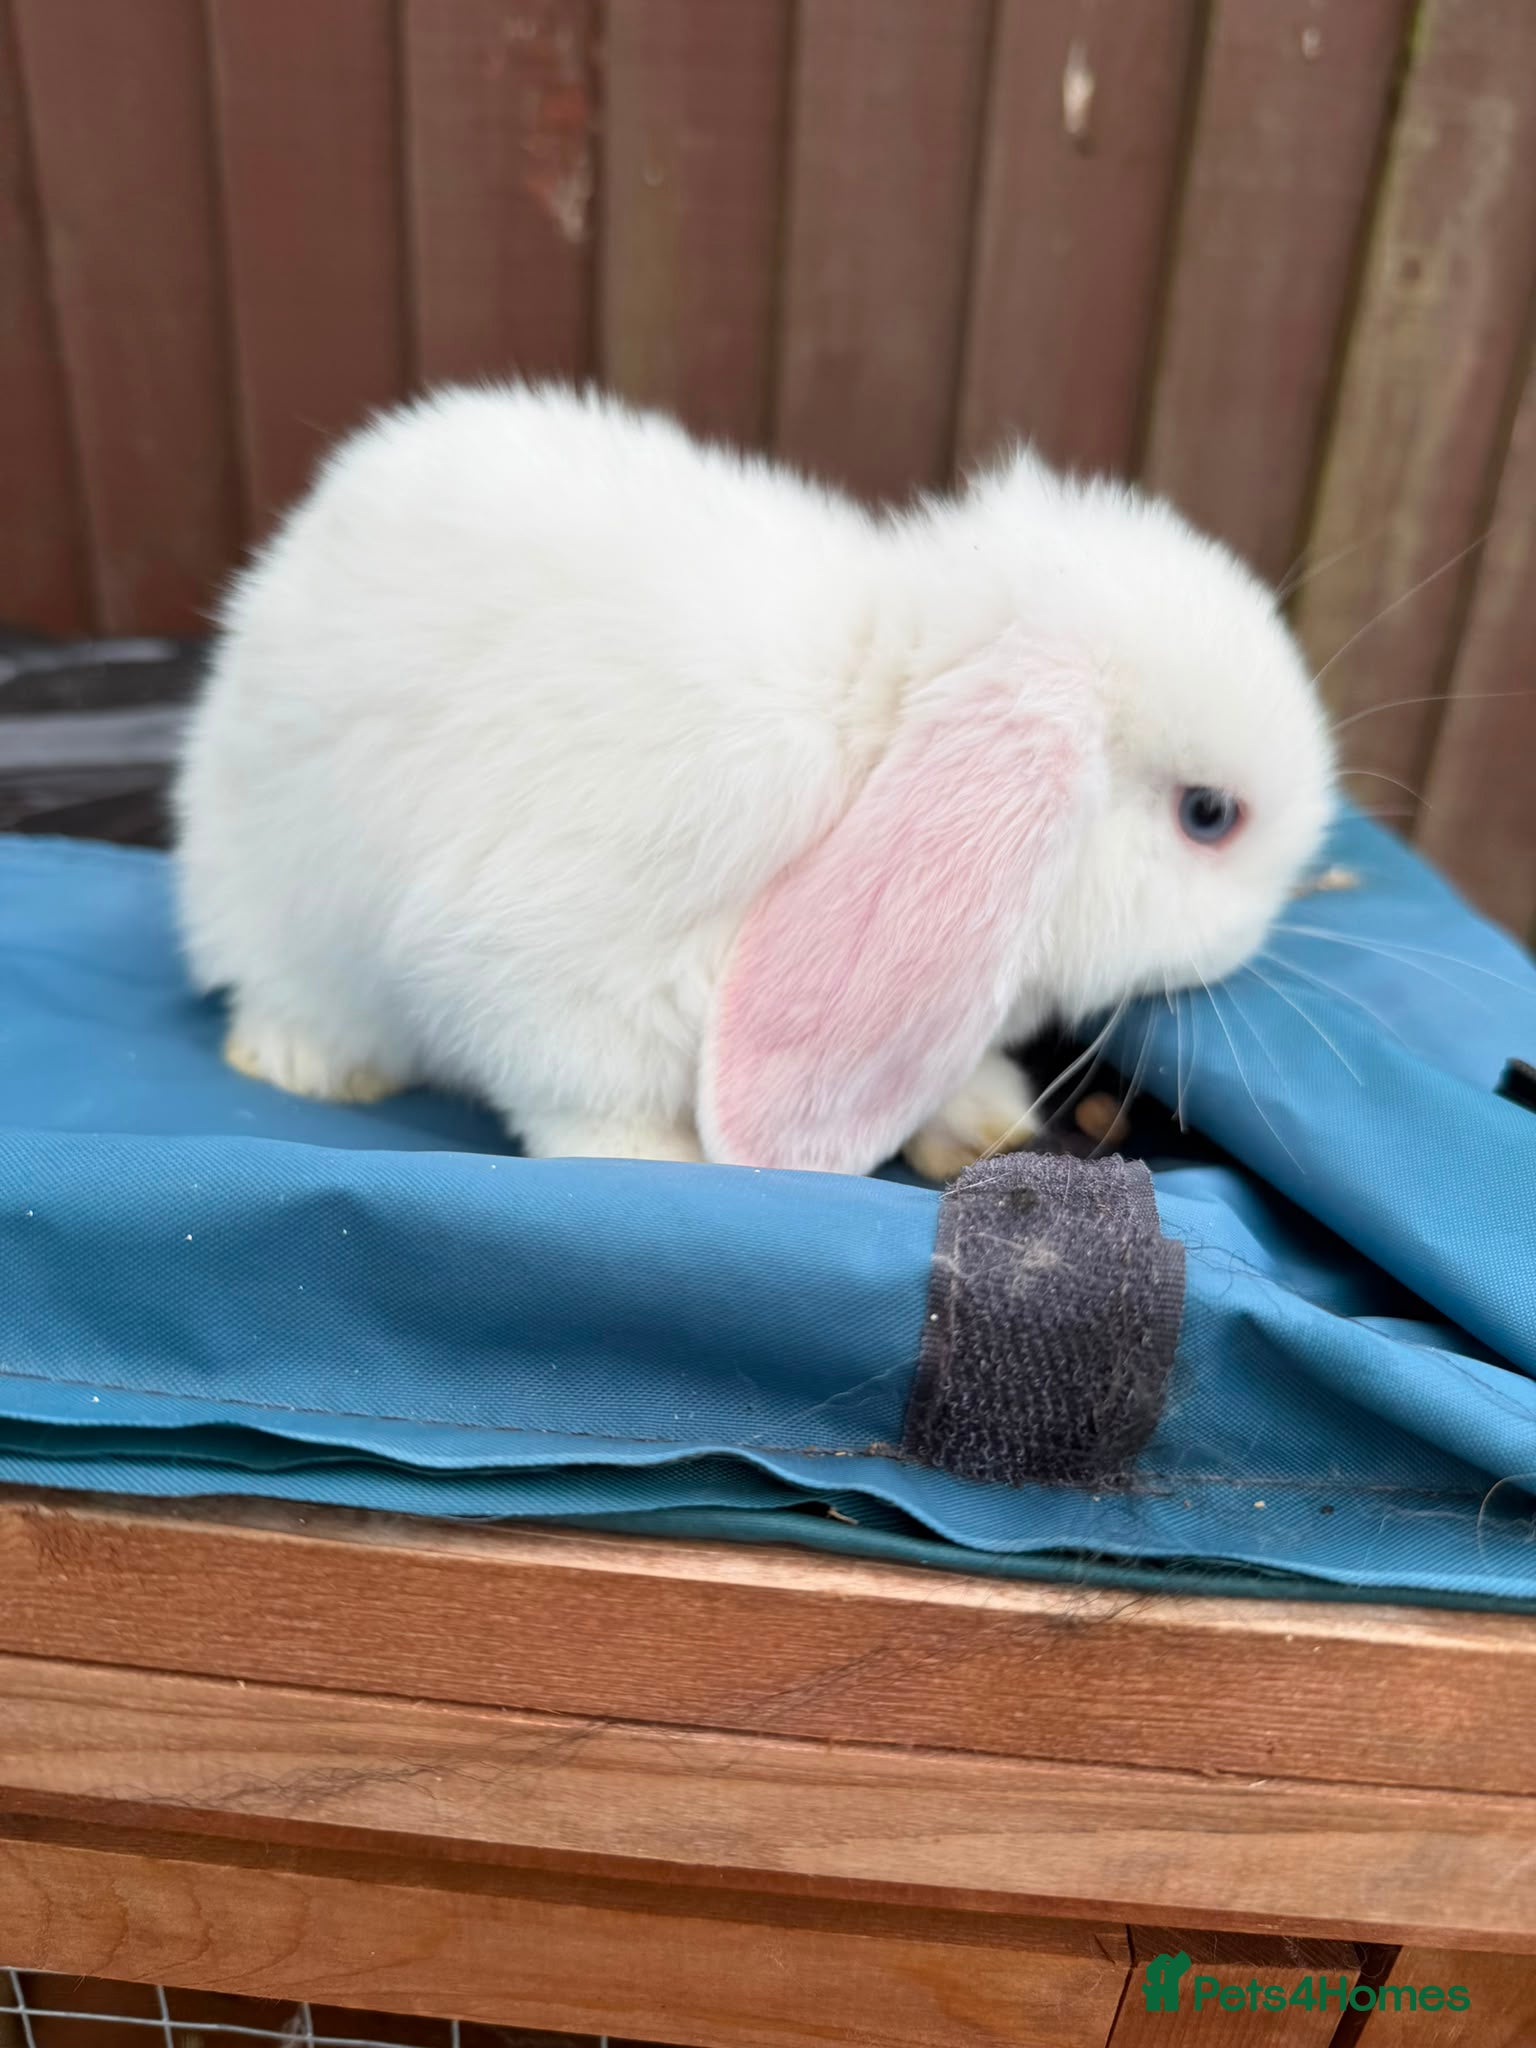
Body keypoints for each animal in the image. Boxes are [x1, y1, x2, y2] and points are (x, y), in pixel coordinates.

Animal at [174, 383, 1335, 1179]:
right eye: (1210, 816)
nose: (1270, 924)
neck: (873, 737)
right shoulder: (543, 962)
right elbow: (576, 1084)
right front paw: (661, 1163)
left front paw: (984, 1125)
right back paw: (305, 1062)